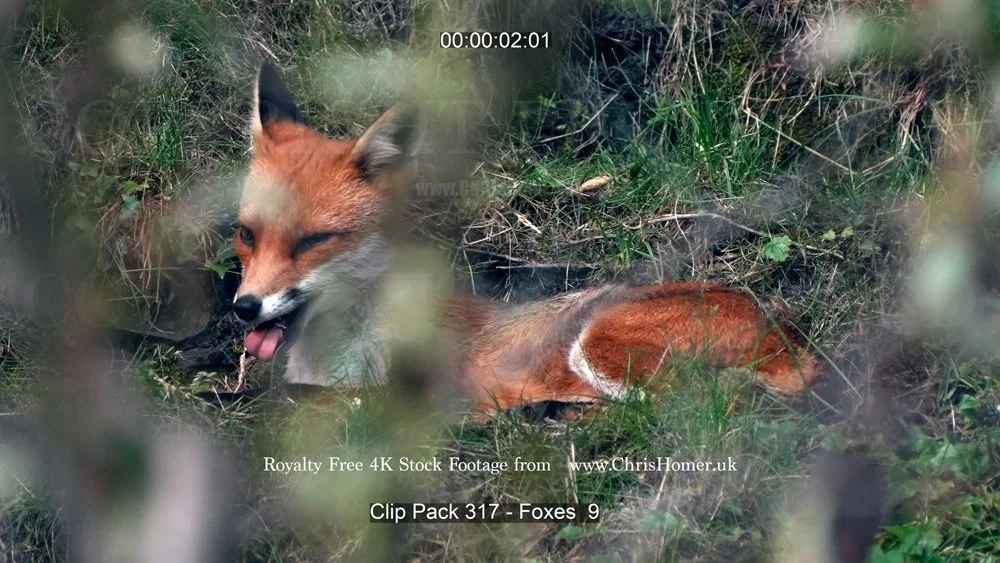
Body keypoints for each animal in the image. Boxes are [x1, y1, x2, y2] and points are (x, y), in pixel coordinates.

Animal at [228, 63, 819, 416]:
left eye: (314, 241)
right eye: (246, 235)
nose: (243, 306)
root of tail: (782, 323)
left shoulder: (409, 400)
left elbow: (307, 398)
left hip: (598, 344)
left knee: (693, 408)